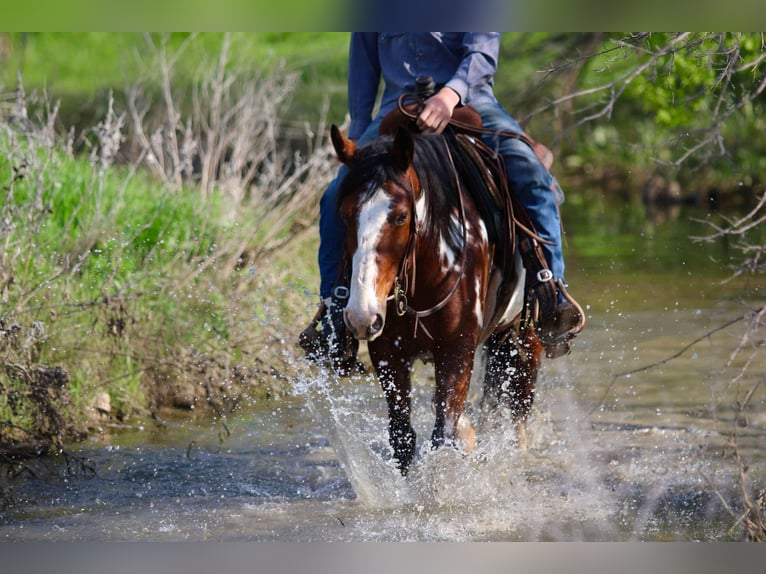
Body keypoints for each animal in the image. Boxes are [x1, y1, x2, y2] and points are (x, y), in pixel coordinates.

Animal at [331, 123, 543, 475]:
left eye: (401, 216)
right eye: (345, 215)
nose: (361, 316)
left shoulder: (456, 349)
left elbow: (442, 437)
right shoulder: (387, 353)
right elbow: (402, 437)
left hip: (525, 335)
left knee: (519, 409)